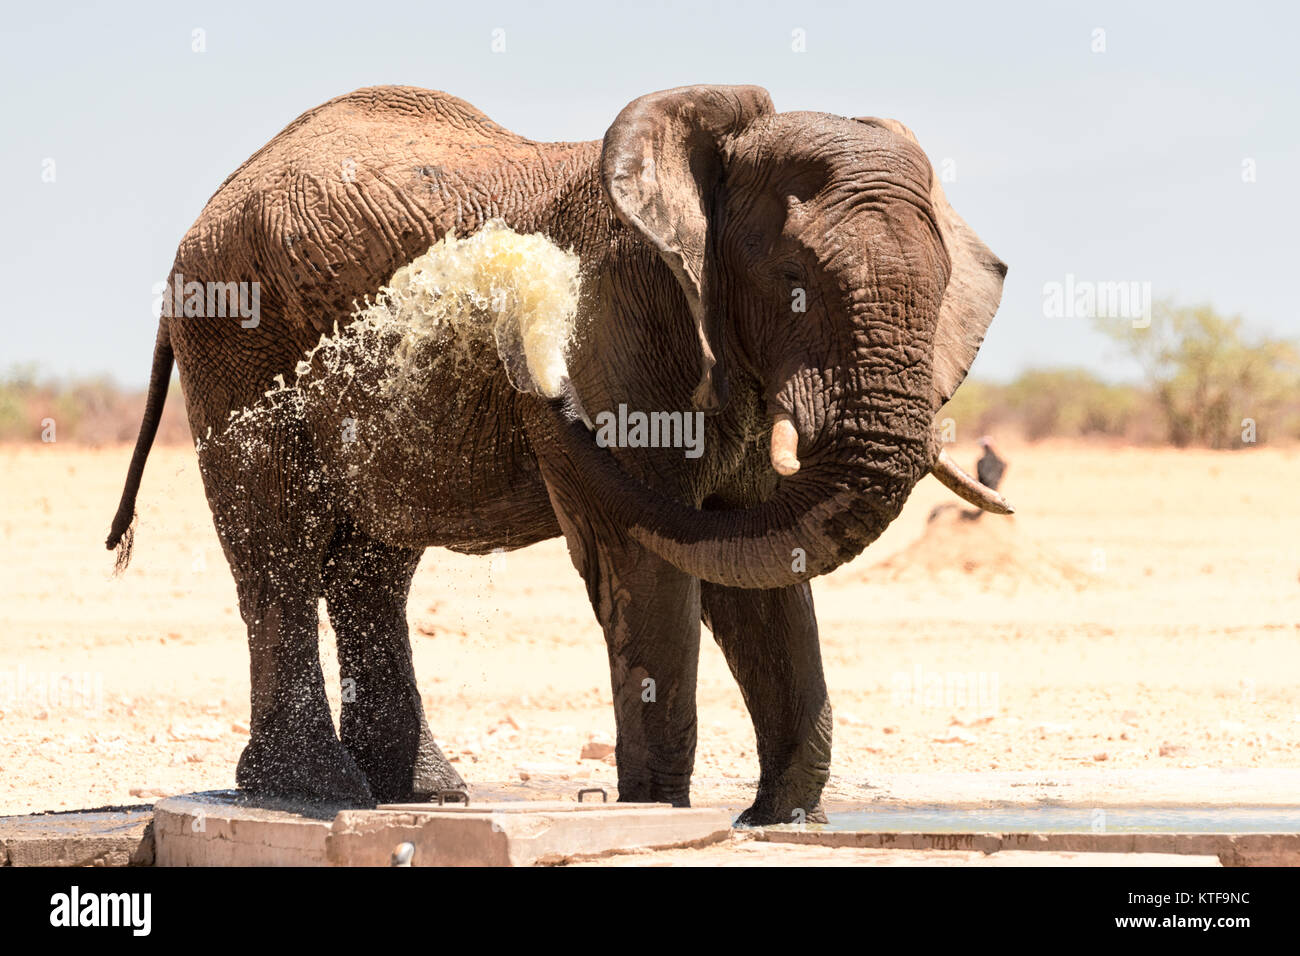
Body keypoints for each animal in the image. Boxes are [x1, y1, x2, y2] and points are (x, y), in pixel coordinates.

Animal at [106, 85, 1008, 827]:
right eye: (796, 278)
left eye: (942, 287)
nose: (527, 358)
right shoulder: (623, 313)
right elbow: (645, 560)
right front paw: (657, 816)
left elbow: (754, 561)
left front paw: (779, 822)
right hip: (234, 332)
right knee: (279, 547)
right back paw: (312, 791)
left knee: (372, 566)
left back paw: (419, 794)